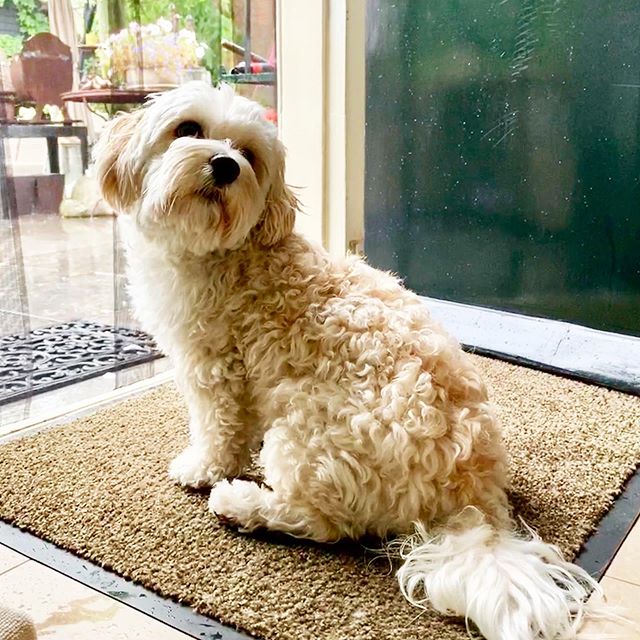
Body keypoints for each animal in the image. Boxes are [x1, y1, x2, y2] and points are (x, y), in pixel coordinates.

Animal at [95, 82, 604, 636]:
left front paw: (202, 468)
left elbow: (217, 432)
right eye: (187, 129)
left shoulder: (214, 367)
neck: (223, 252)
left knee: (322, 523)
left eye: (248, 153)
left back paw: (241, 503)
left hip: (306, 432)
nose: (226, 165)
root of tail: (471, 499)